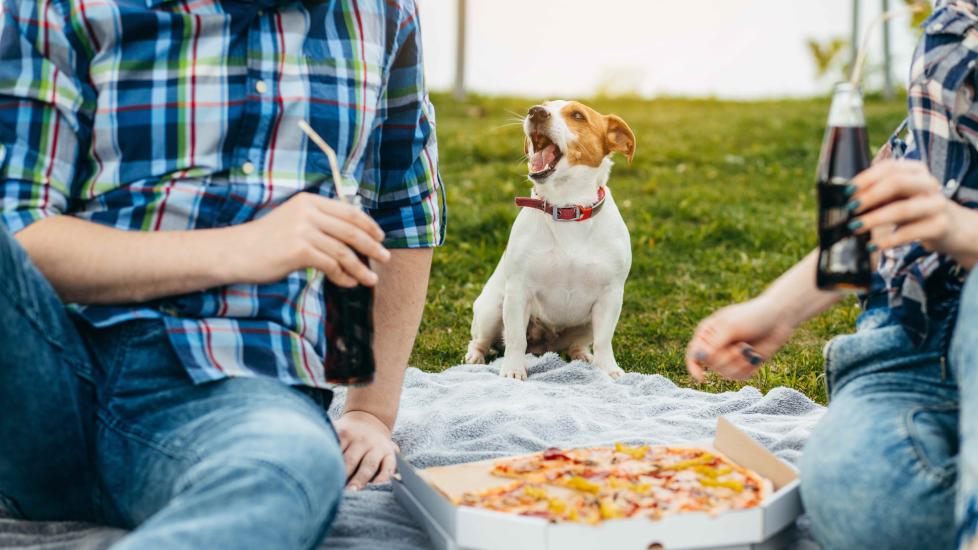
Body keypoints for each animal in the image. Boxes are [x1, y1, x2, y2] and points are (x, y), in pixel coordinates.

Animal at [464, 101, 636, 382]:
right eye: (542, 106)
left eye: (578, 115)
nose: (536, 112)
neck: (566, 208)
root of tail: (542, 348)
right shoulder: (518, 291)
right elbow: (515, 339)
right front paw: (513, 370)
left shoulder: (611, 296)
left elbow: (604, 341)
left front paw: (608, 369)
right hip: (492, 309)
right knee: (482, 340)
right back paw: (476, 357)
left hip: (586, 324)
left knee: (578, 344)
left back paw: (582, 356)